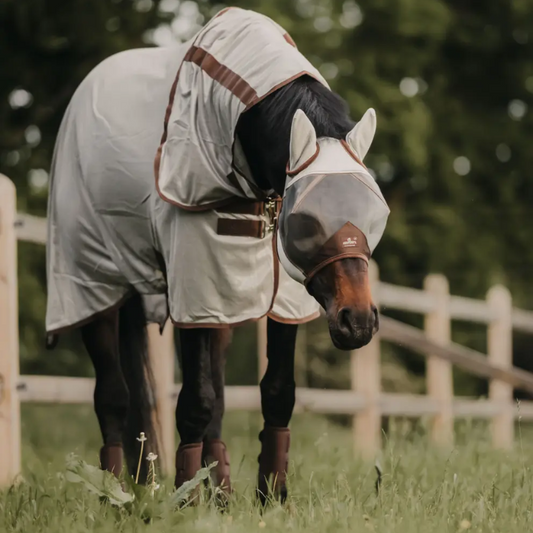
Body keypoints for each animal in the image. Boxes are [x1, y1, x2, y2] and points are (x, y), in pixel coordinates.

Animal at [44, 6, 386, 500]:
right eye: (306, 219)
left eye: (375, 211)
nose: (357, 321)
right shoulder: (195, 285)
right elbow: (195, 401)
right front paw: (184, 499)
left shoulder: (278, 295)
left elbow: (275, 391)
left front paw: (272, 497)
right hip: (93, 284)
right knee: (112, 396)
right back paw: (119, 493)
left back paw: (215, 491)